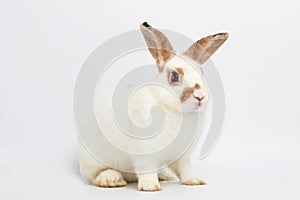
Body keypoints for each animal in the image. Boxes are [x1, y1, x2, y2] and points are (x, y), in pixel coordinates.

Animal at [78, 21, 229, 191]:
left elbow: (185, 168)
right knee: (95, 176)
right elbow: (146, 168)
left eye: (202, 73)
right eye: (174, 76)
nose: (200, 96)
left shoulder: (182, 156)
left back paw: (164, 176)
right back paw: (112, 179)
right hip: (94, 161)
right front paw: (150, 186)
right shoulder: (144, 151)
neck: (174, 111)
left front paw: (195, 180)